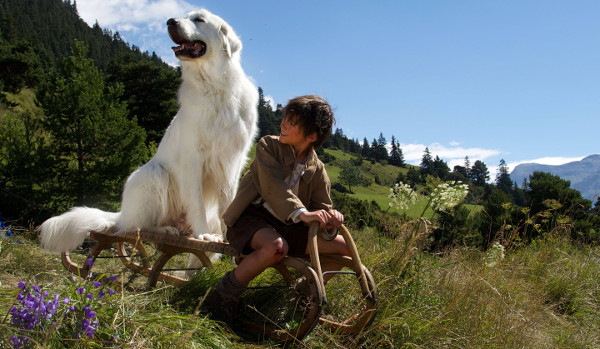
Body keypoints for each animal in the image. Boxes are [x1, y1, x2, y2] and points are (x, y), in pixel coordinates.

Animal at [37, 9, 258, 251]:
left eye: (199, 19)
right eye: (185, 16)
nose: (170, 21)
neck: (216, 87)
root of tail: (121, 213)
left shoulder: (232, 161)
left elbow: (229, 204)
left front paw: (229, 237)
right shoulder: (193, 159)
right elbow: (197, 203)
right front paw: (204, 235)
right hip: (153, 175)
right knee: (137, 226)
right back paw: (167, 229)